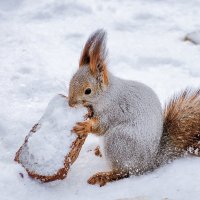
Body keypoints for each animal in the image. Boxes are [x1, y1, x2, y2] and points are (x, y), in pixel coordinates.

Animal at [68, 29, 200, 186]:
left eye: (88, 91)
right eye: (70, 82)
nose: (70, 103)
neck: (106, 94)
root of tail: (149, 163)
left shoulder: (113, 110)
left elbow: (101, 125)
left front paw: (85, 126)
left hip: (117, 142)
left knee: (123, 172)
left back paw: (103, 175)